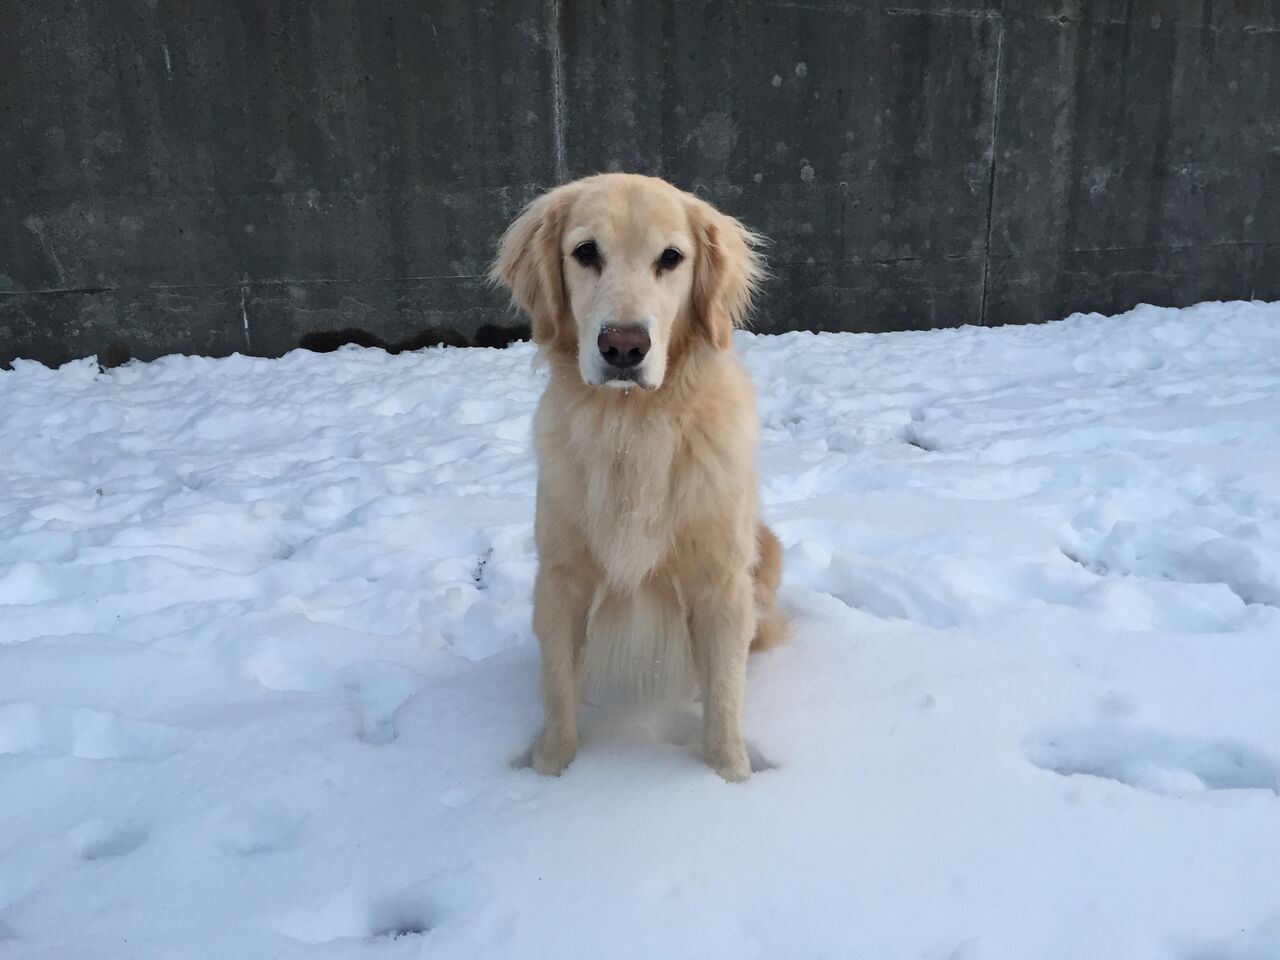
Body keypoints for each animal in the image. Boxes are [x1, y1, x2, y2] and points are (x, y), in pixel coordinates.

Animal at [491, 175, 783, 783]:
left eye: (671, 258)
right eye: (585, 252)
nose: (623, 346)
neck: (633, 428)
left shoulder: (721, 583)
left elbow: (725, 697)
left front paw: (731, 780)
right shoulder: (560, 578)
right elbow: (557, 688)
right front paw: (550, 771)